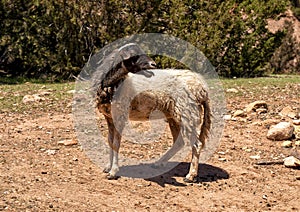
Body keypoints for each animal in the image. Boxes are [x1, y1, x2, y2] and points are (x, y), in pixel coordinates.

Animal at [92, 42, 212, 182]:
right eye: (134, 56)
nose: (153, 64)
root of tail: (202, 88)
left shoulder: (120, 115)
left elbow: (116, 143)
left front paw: (113, 171)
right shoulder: (109, 117)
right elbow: (110, 141)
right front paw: (108, 167)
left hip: (188, 113)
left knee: (197, 144)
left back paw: (190, 175)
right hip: (174, 115)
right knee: (179, 142)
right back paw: (159, 163)